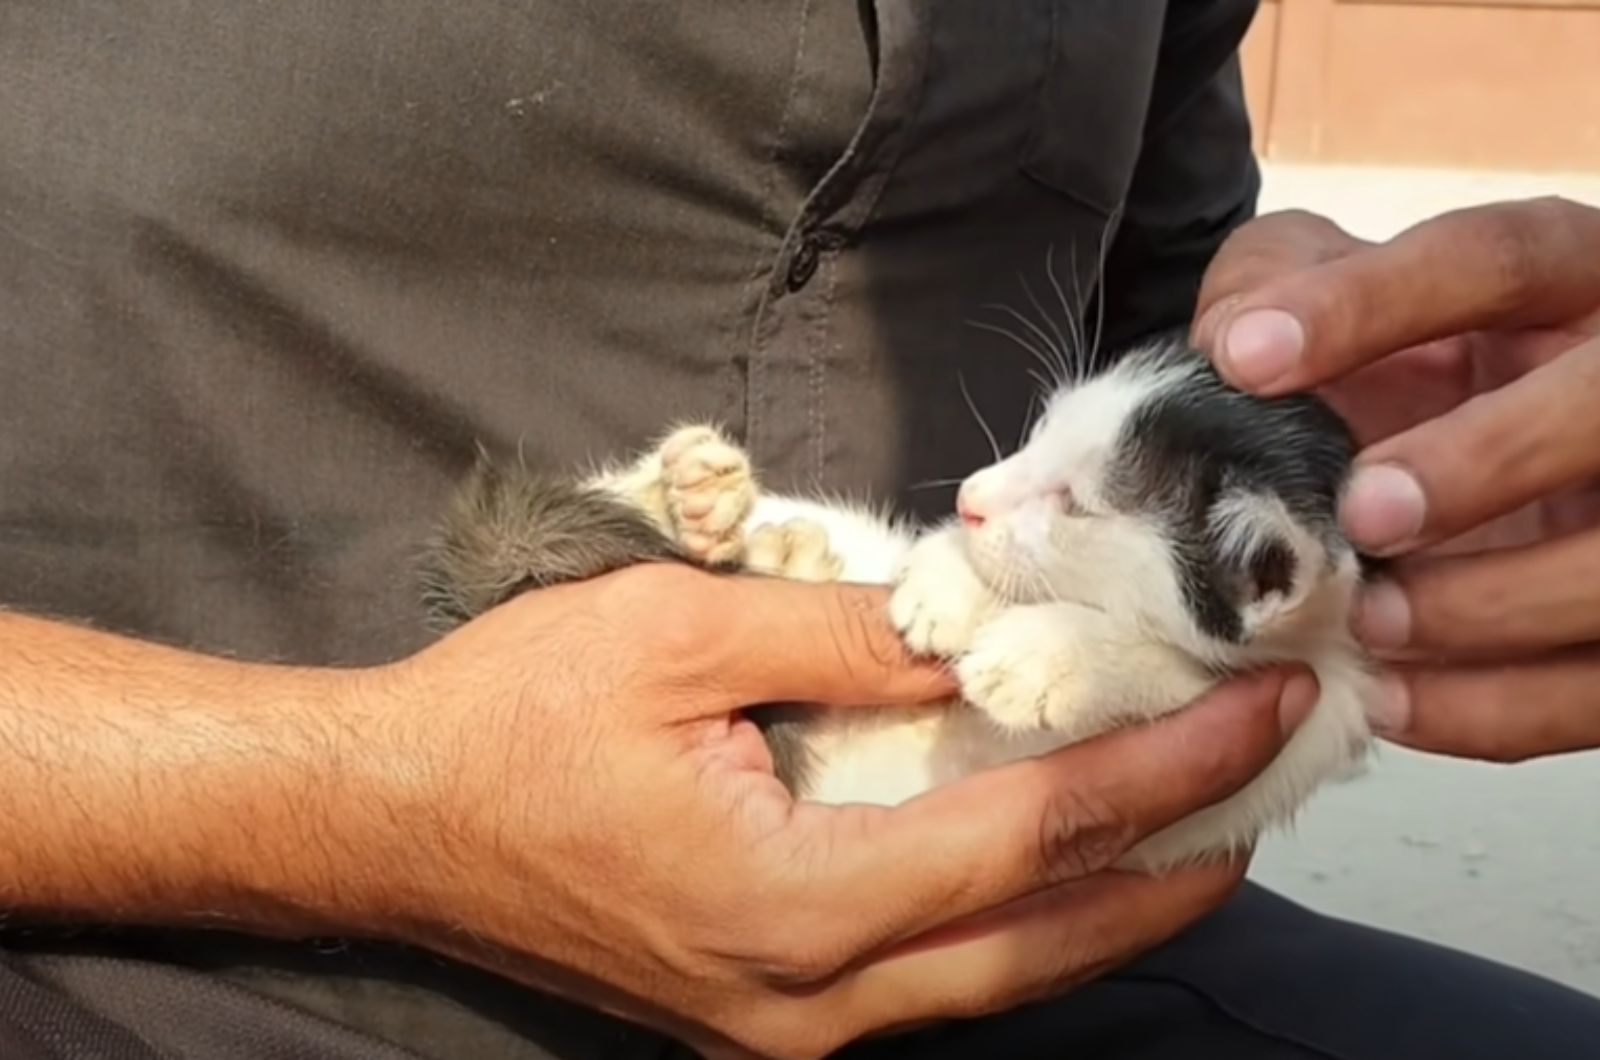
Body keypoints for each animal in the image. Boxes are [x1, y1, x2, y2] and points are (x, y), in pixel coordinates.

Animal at [419, 336, 1382, 877]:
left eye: (1077, 506)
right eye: (1038, 434)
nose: (971, 494)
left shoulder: (1304, 723)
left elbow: (1189, 676)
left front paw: (1048, 657)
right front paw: (951, 579)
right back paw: (698, 502)